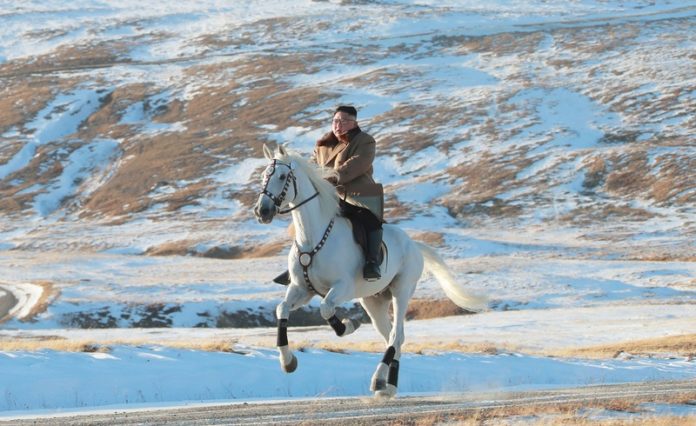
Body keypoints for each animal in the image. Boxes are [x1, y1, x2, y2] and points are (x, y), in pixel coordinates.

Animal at [253, 144, 487, 398]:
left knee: (396, 335)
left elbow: (326, 309)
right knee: (392, 338)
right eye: (264, 176)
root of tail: (414, 245)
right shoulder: (301, 289)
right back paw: (388, 386)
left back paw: (378, 381)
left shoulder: (342, 287)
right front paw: (288, 362)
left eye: (282, 176)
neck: (313, 238)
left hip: (401, 291)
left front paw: (348, 325)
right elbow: (282, 309)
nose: (262, 211)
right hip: (373, 301)